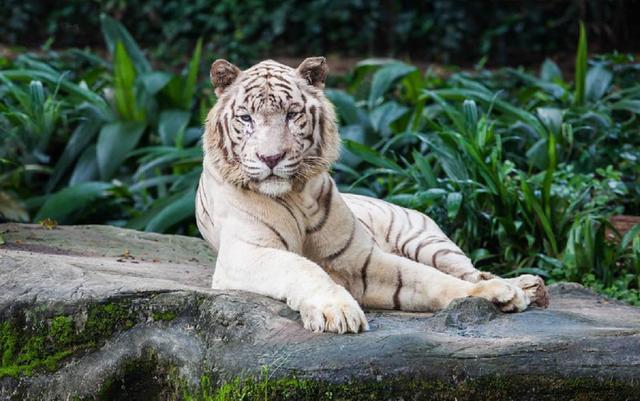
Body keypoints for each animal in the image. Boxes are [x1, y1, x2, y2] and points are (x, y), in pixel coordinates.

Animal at [194, 55, 544, 332]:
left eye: (292, 115)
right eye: (246, 118)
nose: (271, 158)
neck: (295, 195)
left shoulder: (359, 257)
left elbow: (427, 278)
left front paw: (495, 293)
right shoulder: (246, 253)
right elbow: (303, 267)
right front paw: (337, 311)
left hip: (430, 243)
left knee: (469, 270)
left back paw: (525, 286)